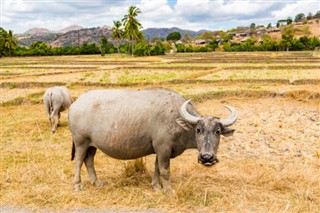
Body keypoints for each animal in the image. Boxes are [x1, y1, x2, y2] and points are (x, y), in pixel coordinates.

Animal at [68, 88, 238, 193]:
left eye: (217, 132)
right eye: (198, 130)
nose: (207, 157)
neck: (176, 119)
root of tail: (75, 104)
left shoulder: (160, 150)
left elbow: (157, 168)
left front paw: (156, 186)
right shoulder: (163, 149)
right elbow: (165, 170)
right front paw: (168, 190)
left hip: (92, 145)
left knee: (89, 160)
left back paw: (96, 182)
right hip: (81, 141)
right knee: (79, 161)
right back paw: (77, 185)